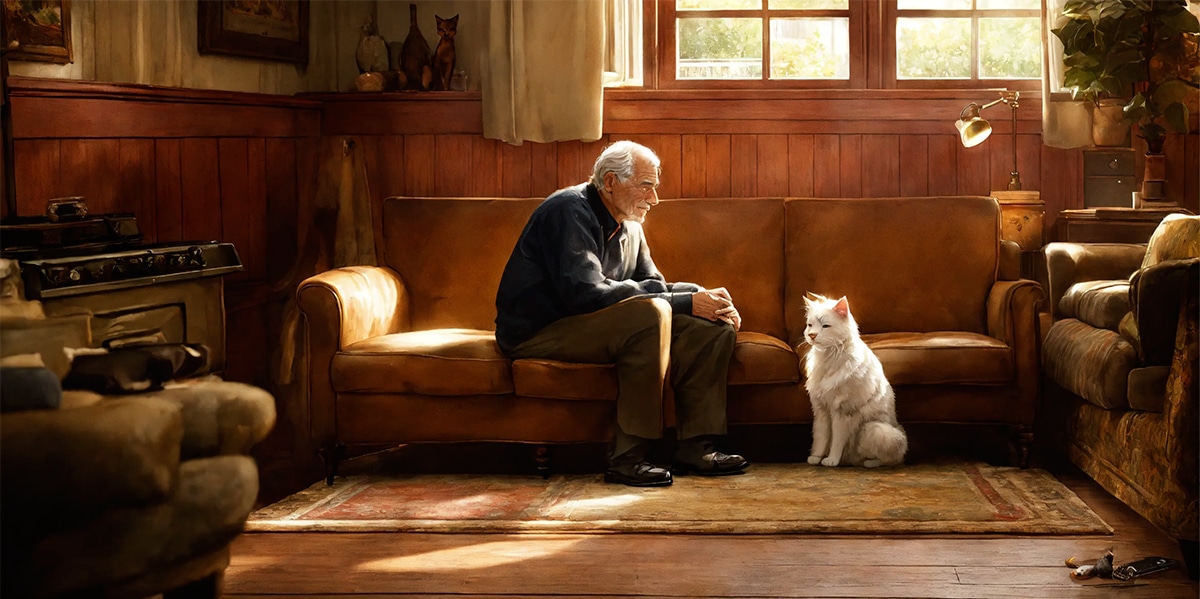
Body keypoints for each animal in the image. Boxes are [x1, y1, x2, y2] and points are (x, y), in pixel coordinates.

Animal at [801, 295, 902, 468]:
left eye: (825, 326)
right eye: (810, 325)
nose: (812, 335)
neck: (828, 356)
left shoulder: (842, 411)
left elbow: (836, 439)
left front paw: (832, 460)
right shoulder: (821, 411)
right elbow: (821, 437)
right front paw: (816, 457)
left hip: (876, 429)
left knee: (889, 459)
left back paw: (869, 463)